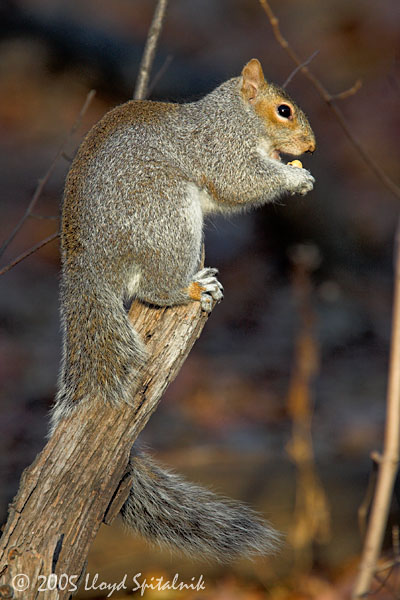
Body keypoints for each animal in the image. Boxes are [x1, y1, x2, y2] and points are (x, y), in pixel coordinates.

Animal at [50, 58, 316, 560]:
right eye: (284, 110)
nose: (311, 146)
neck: (233, 117)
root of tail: (90, 265)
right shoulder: (220, 150)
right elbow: (240, 180)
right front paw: (295, 178)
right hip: (166, 213)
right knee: (155, 287)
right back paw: (193, 288)